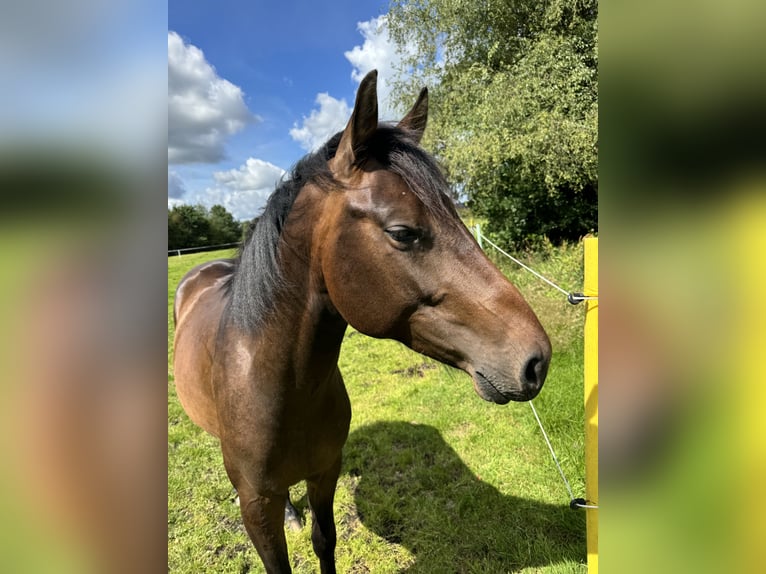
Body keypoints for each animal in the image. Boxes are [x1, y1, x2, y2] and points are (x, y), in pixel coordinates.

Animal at [172, 69, 552, 573]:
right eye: (402, 232)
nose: (537, 360)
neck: (281, 387)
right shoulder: (254, 506)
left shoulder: (325, 473)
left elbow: (325, 541)